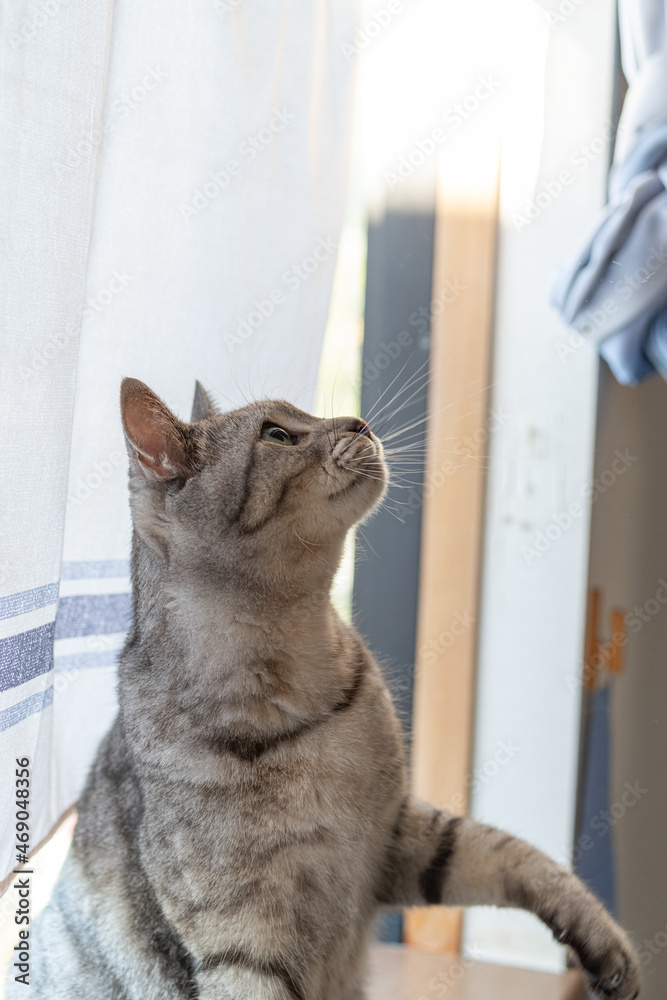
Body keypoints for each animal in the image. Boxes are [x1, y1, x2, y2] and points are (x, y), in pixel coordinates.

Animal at [6, 376, 640, 1000]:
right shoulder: (246, 939)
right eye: (277, 434)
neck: (293, 662)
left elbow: (517, 856)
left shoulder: (397, 835)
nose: (360, 422)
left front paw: (607, 945)